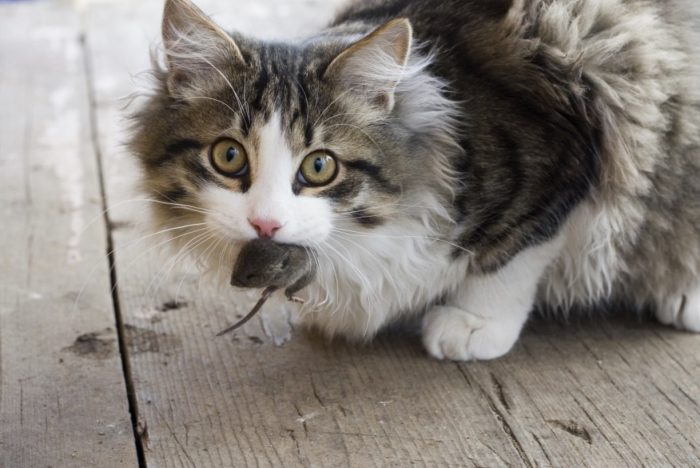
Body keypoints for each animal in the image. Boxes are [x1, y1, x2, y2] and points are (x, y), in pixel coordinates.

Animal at [129, 0, 700, 360]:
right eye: (228, 156)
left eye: (319, 166)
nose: (265, 225)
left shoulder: (566, 158)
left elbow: (510, 259)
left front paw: (474, 324)